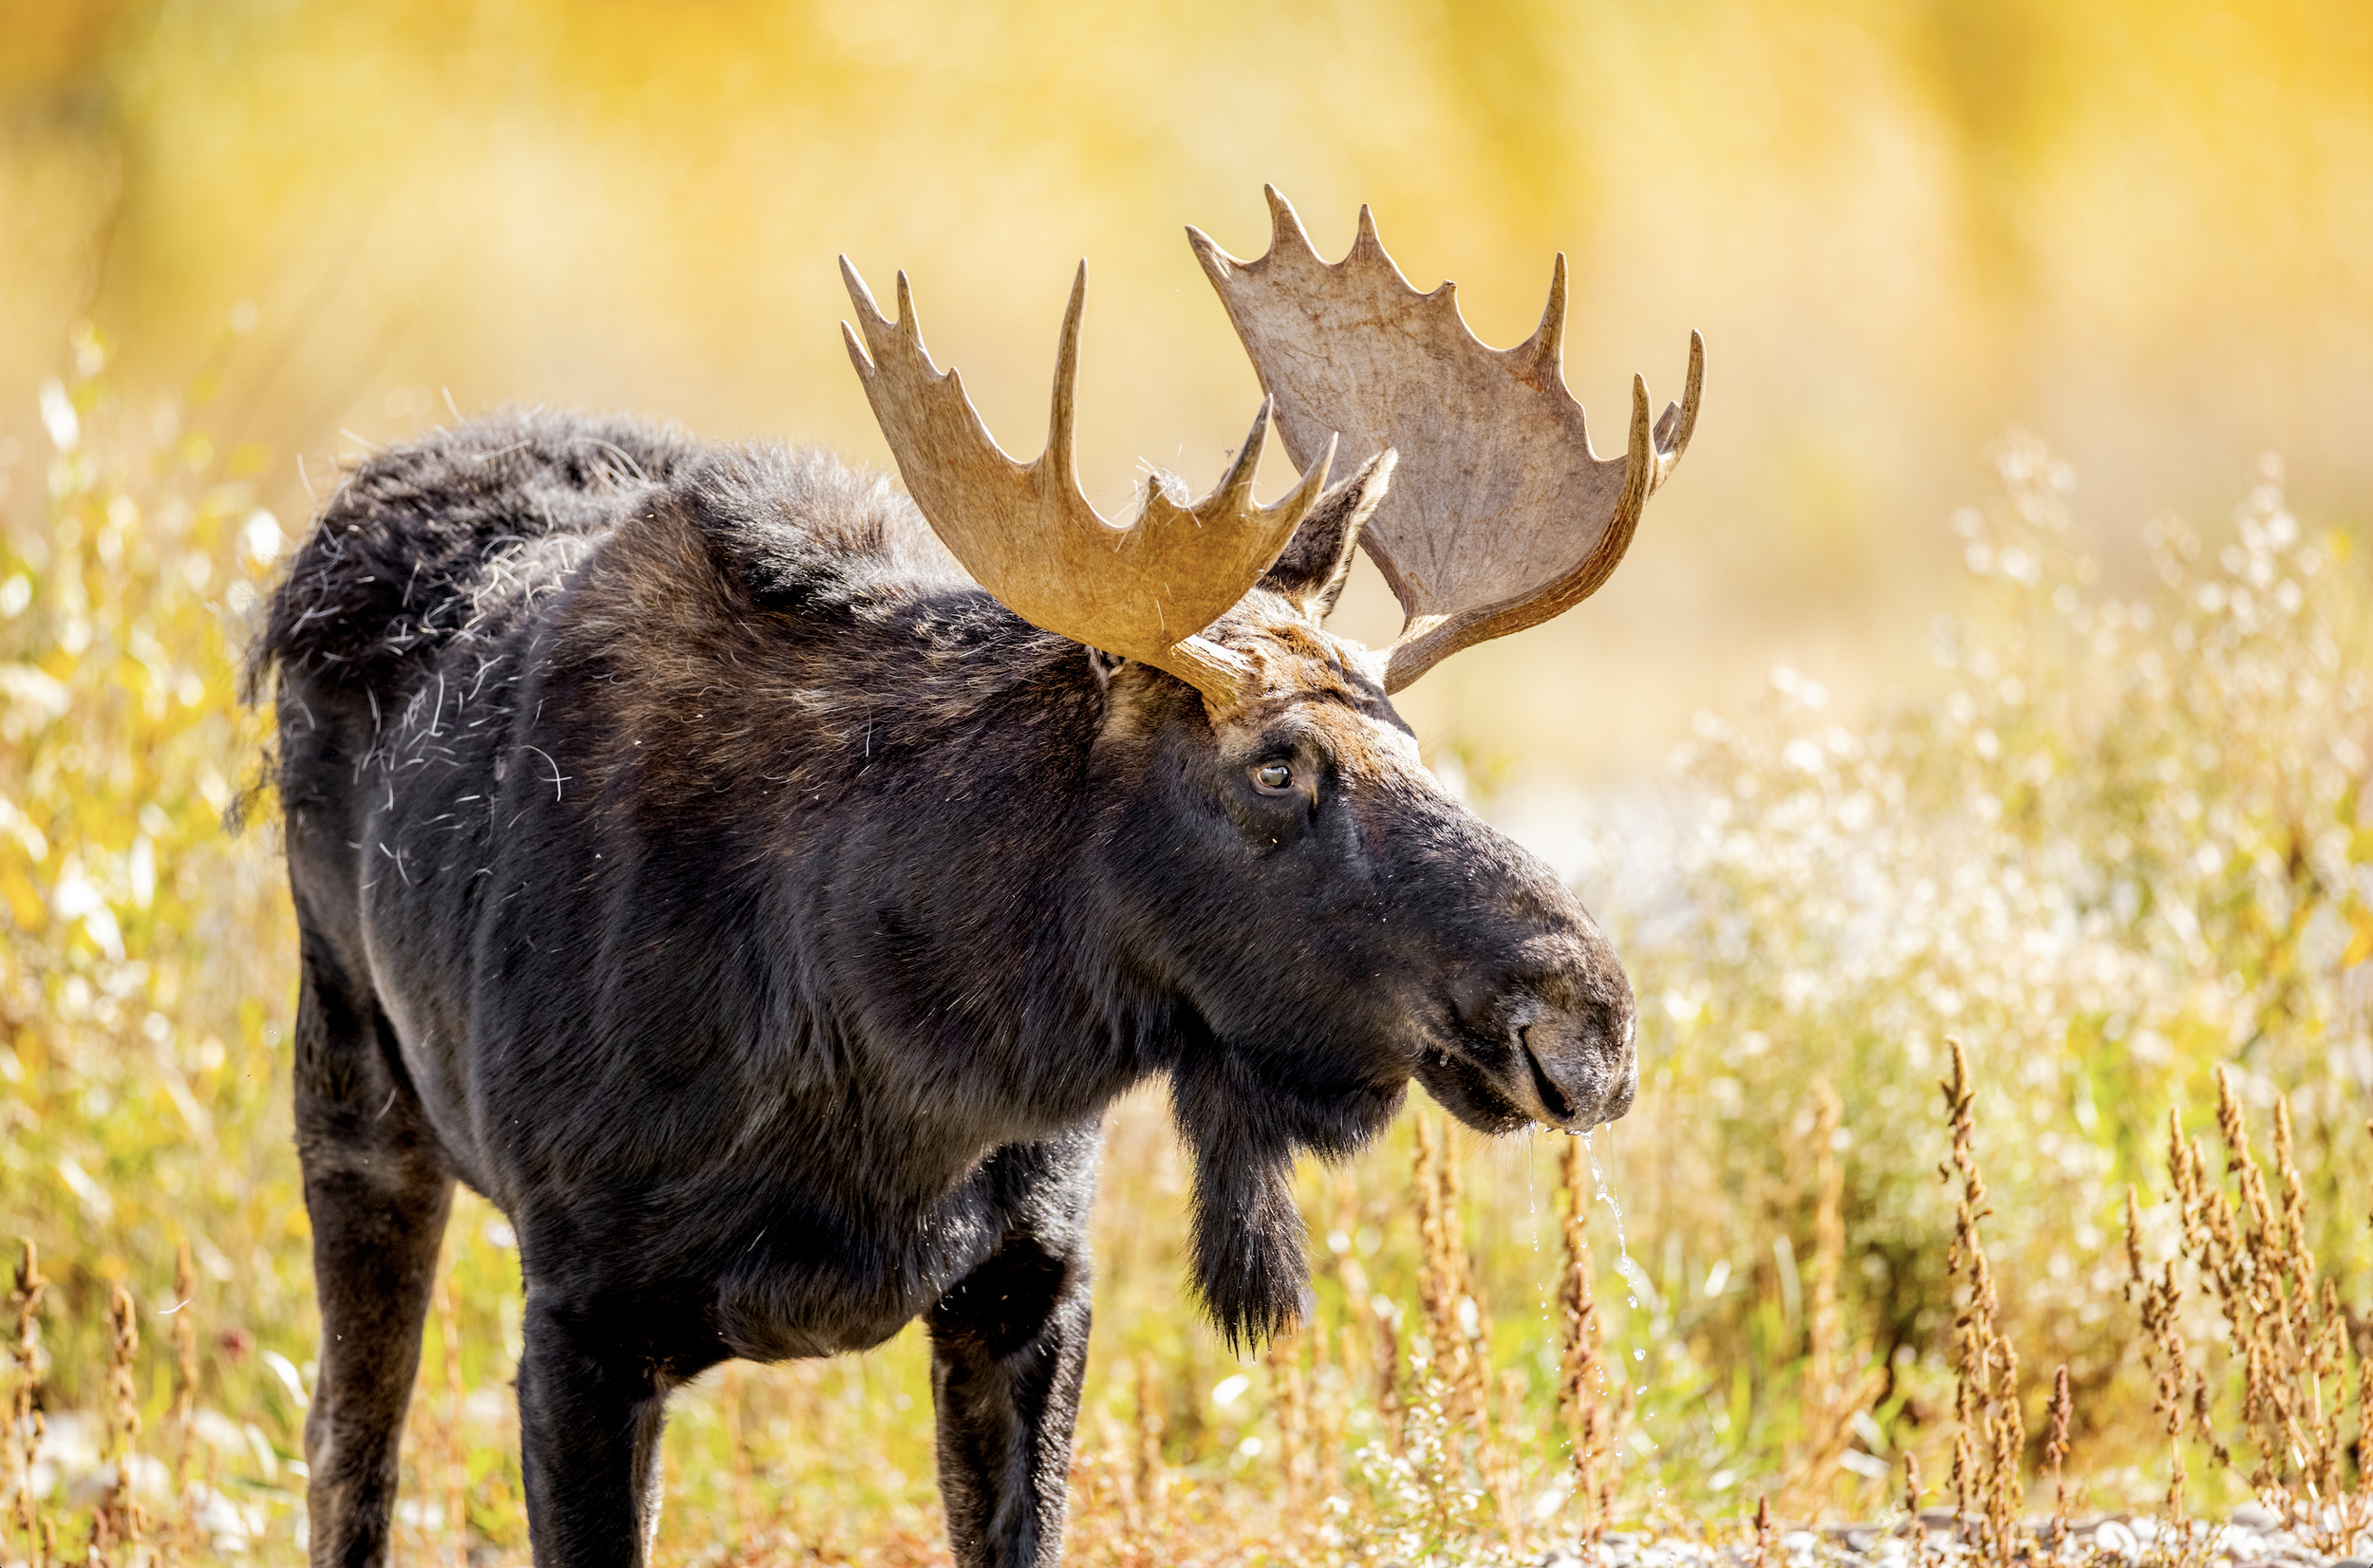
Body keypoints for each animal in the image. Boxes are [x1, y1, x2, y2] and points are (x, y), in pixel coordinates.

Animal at [250, 187, 1701, 1567]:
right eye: (1277, 764)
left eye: (1411, 738)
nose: (1590, 1023)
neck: (899, 1062)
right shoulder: (582, 1320)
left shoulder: (1027, 1289)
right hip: (355, 1083)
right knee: (344, 1444)